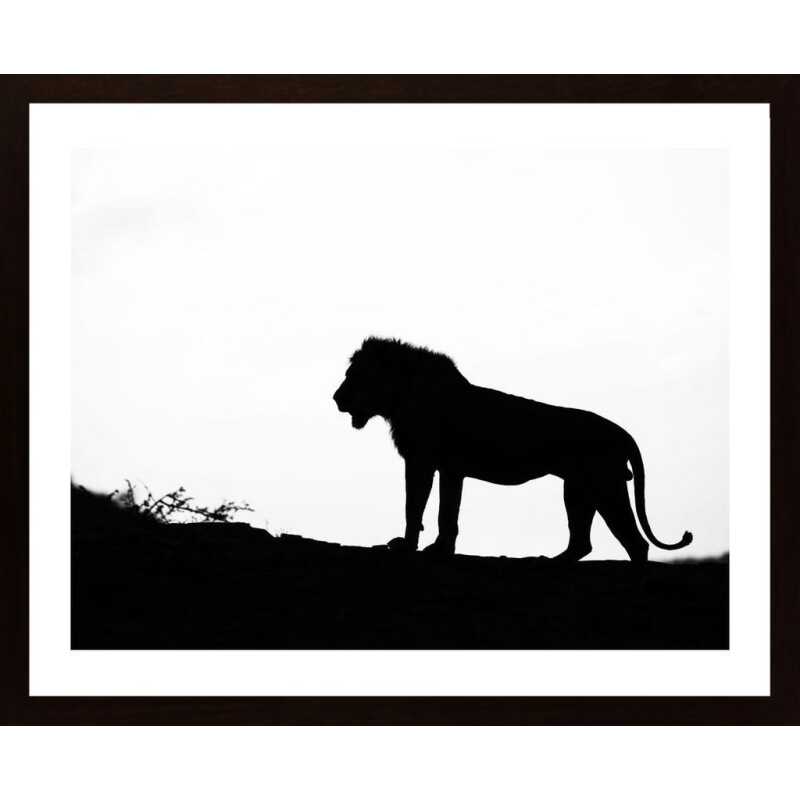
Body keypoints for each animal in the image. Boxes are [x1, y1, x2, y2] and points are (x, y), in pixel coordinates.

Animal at [333, 337, 692, 563]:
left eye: (355, 375)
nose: (336, 398)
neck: (399, 399)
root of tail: (621, 432)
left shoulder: (422, 461)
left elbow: (416, 508)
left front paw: (409, 548)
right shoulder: (449, 468)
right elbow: (446, 512)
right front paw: (439, 548)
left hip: (604, 485)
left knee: (635, 542)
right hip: (579, 488)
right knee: (583, 542)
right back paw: (550, 561)